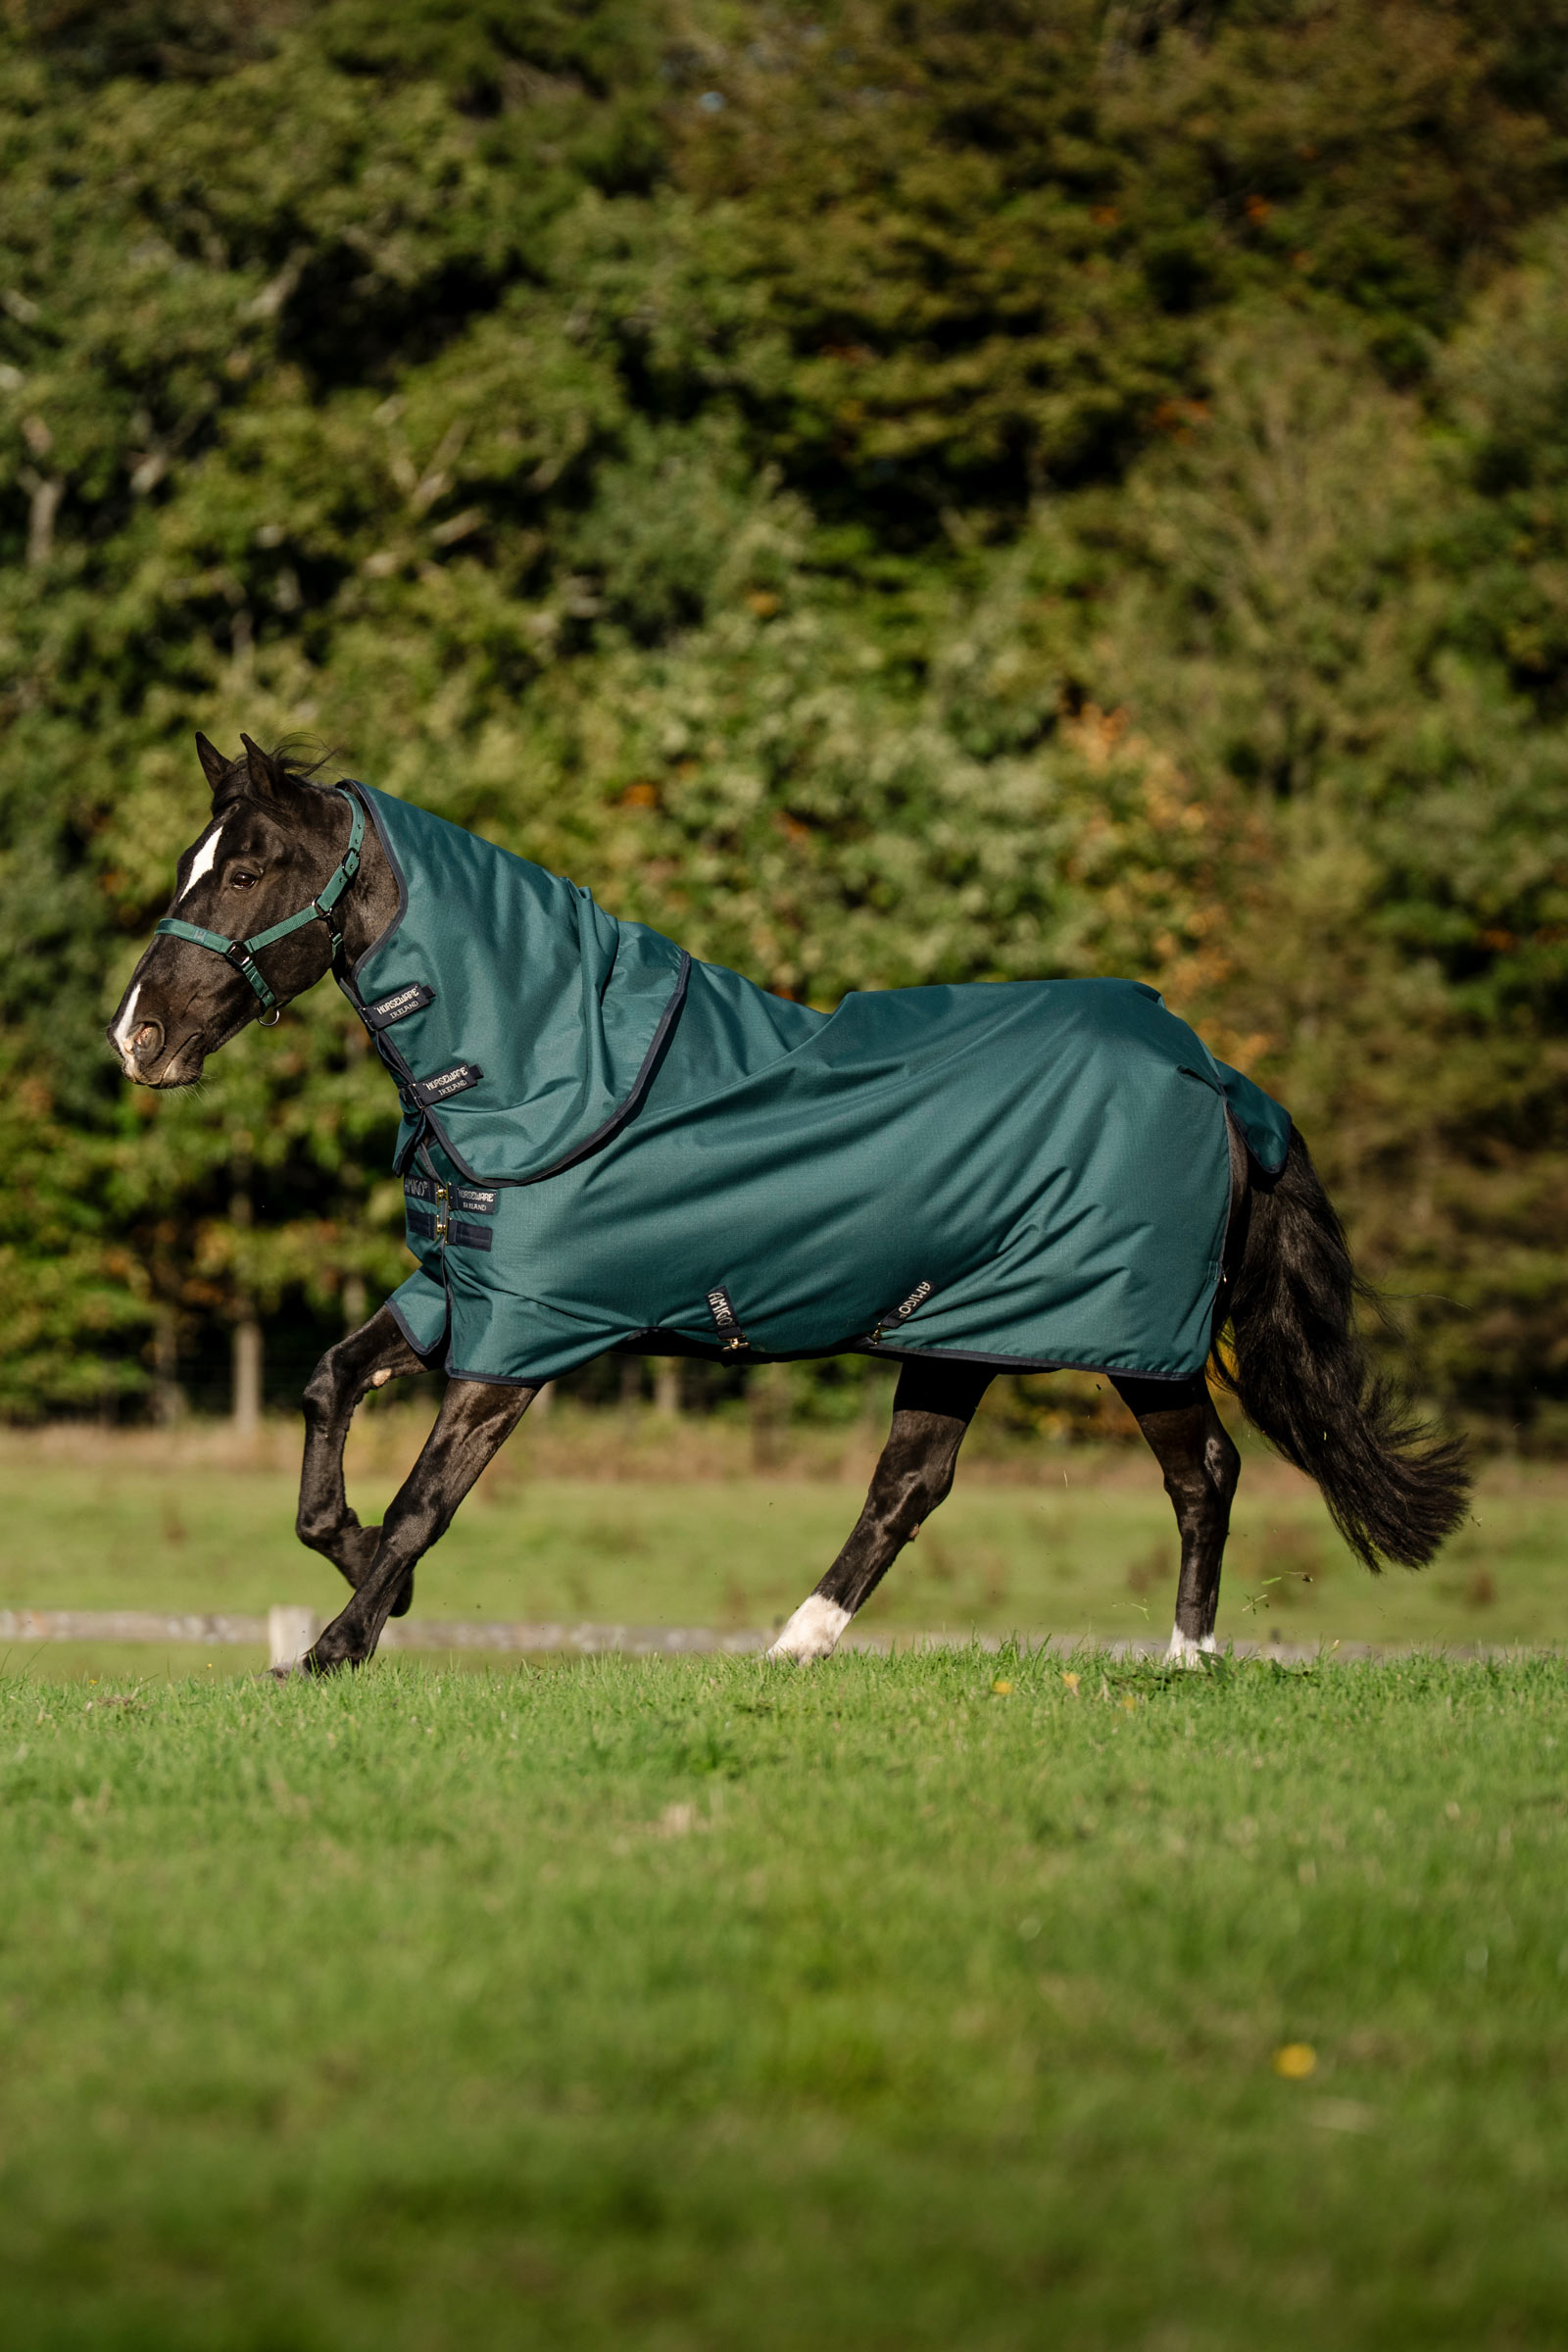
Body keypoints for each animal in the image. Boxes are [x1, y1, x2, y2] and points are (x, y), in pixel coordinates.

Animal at [107, 735, 1470, 1677]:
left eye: (246, 867)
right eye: (194, 864)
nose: (138, 1038)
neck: (548, 1066)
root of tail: (1216, 1075)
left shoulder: (523, 1339)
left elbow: (421, 1504)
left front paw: (337, 1645)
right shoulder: (457, 1293)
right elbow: (326, 1394)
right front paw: (356, 1578)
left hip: (1133, 1337)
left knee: (1205, 1474)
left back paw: (1186, 1660)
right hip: (959, 1330)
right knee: (909, 1486)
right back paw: (794, 1648)